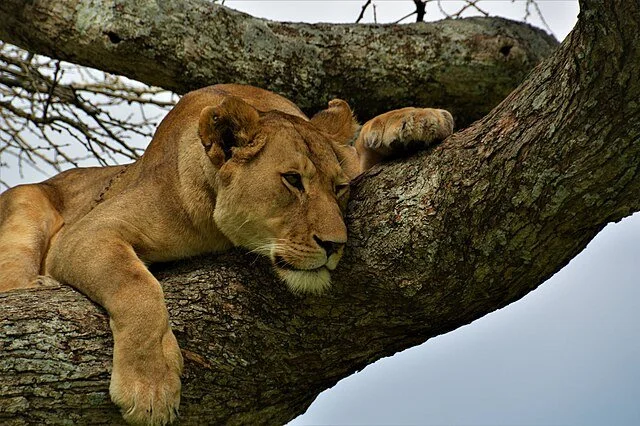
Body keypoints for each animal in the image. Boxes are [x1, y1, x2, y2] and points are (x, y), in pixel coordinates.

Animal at [0, 84, 453, 425]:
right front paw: (150, 389)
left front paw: (411, 121)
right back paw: (41, 285)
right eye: (293, 181)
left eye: (339, 188)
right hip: (25, 203)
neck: (217, 226)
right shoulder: (86, 233)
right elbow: (136, 286)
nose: (335, 245)